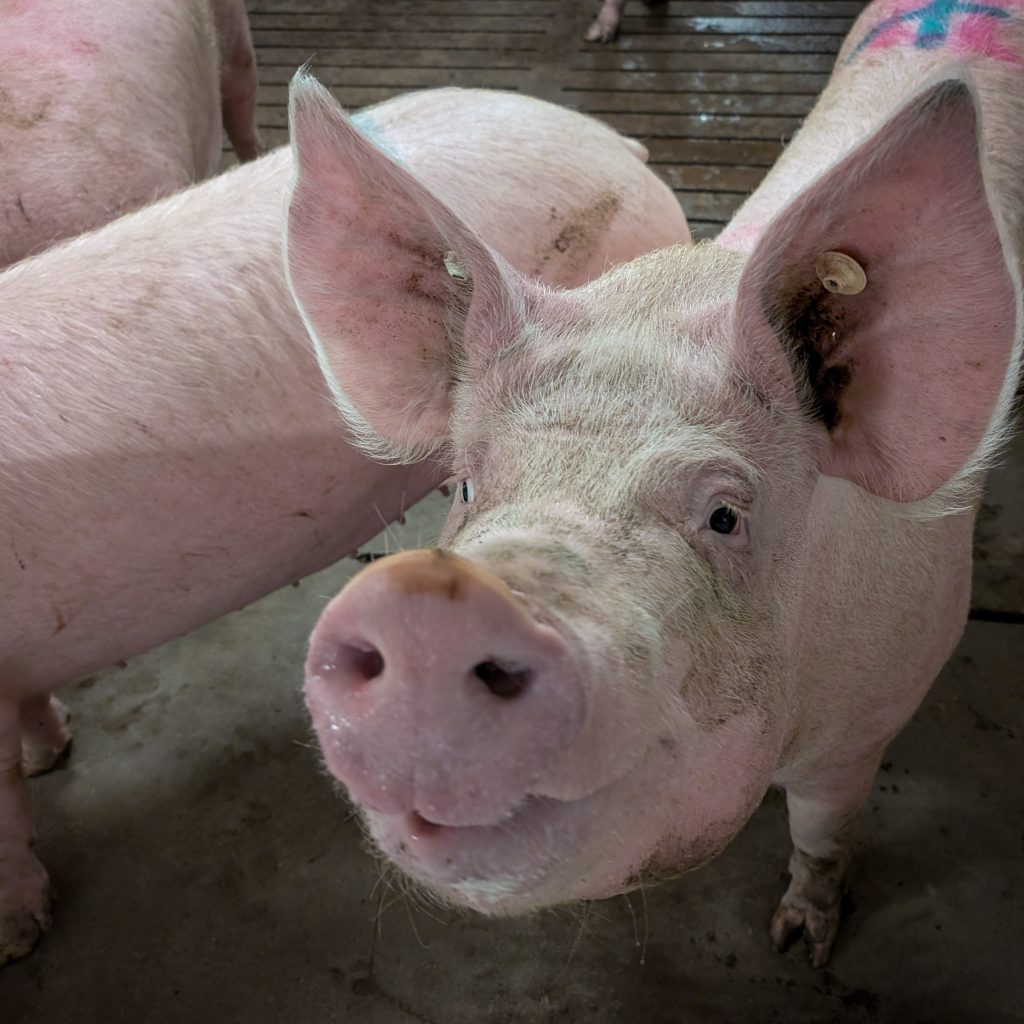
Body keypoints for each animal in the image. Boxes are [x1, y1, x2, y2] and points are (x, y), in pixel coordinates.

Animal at [289, 0, 1024, 967]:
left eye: (724, 515)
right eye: (465, 486)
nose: (429, 607)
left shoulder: (872, 716)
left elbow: (823, 834)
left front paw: (801, 945)